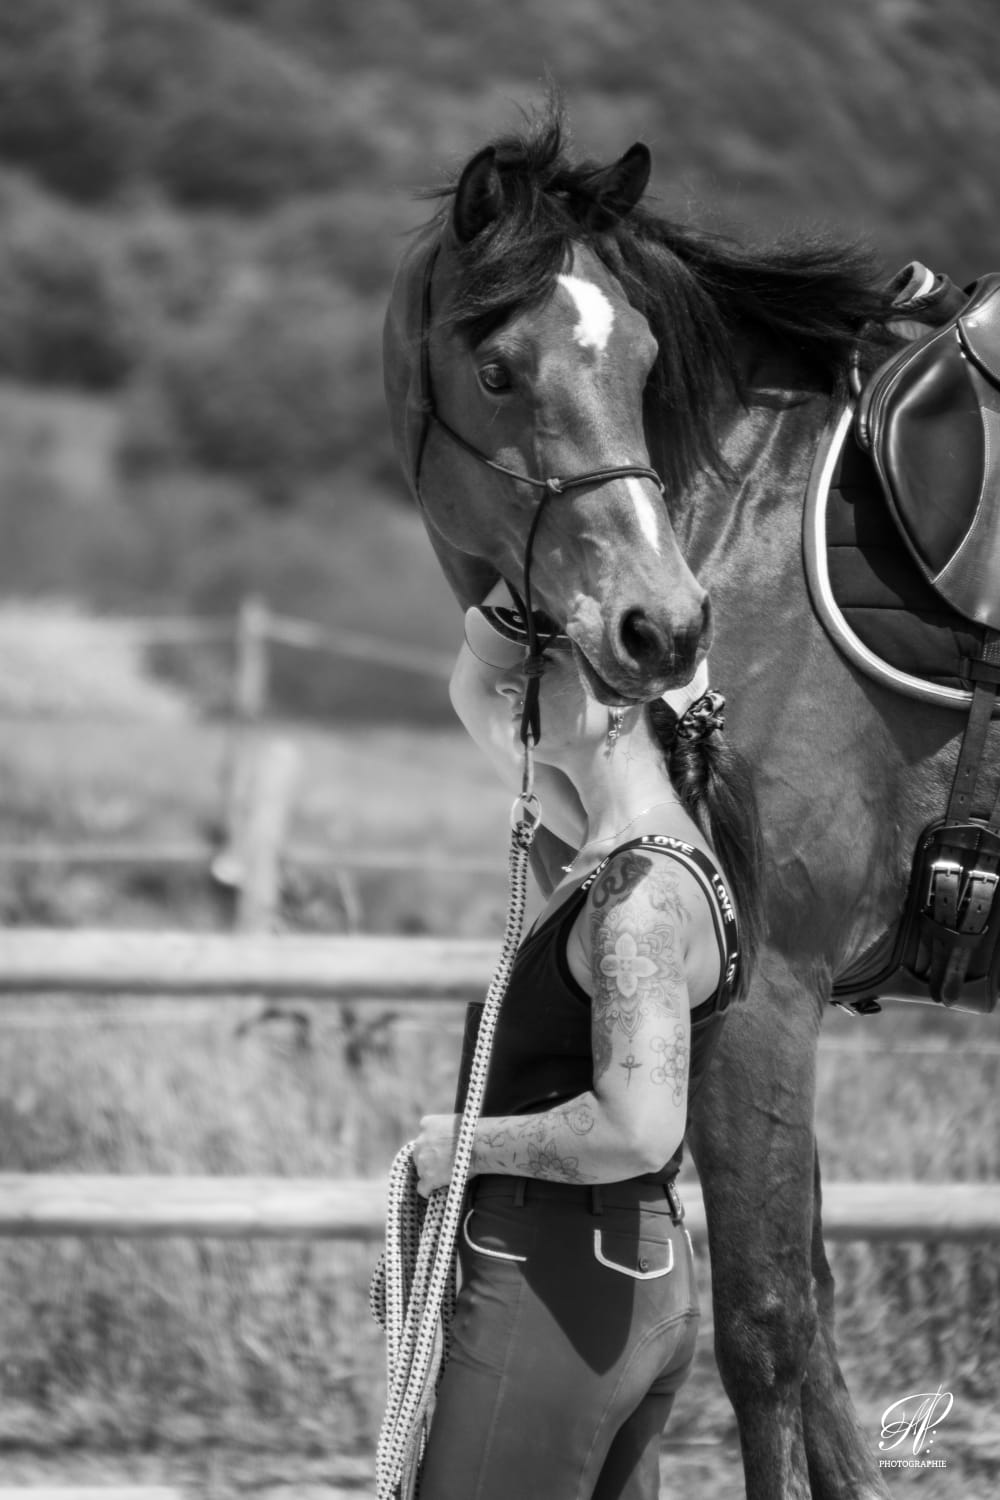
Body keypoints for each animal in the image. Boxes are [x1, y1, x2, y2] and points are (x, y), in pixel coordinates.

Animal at [382, 107, 995, 1499]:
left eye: (647, 360)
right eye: (496, 369)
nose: (658, 627)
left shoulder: (764, 995)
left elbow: (765, 1333)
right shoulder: (750, 1007)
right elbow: (814, 1337)